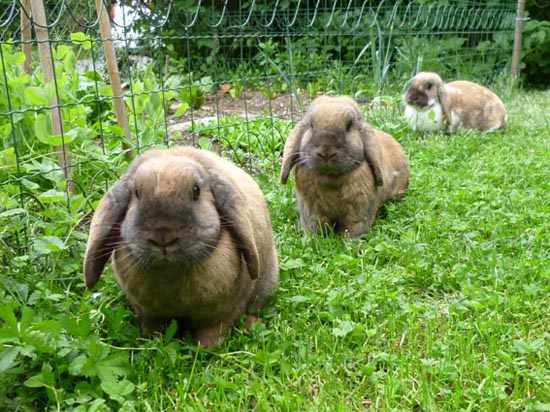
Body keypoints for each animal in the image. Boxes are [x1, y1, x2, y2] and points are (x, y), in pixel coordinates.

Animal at [84, 146, 280, 346]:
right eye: (137, 193)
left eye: (196, 191)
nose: (163, 237)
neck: (170, 271)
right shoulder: (148, 314)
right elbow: (154, 328)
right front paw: (154, 343)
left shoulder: (221, 314)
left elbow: (212, 332)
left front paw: (205, 349)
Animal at [280, 96, 410, 238]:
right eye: (311, 125)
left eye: (349, 126)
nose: (326, 152)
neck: (329, 177)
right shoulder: (311, 210)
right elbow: (315, 227)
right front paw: (312, 239)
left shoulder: (357, 211)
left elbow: (353, 228)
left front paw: (350, 241)